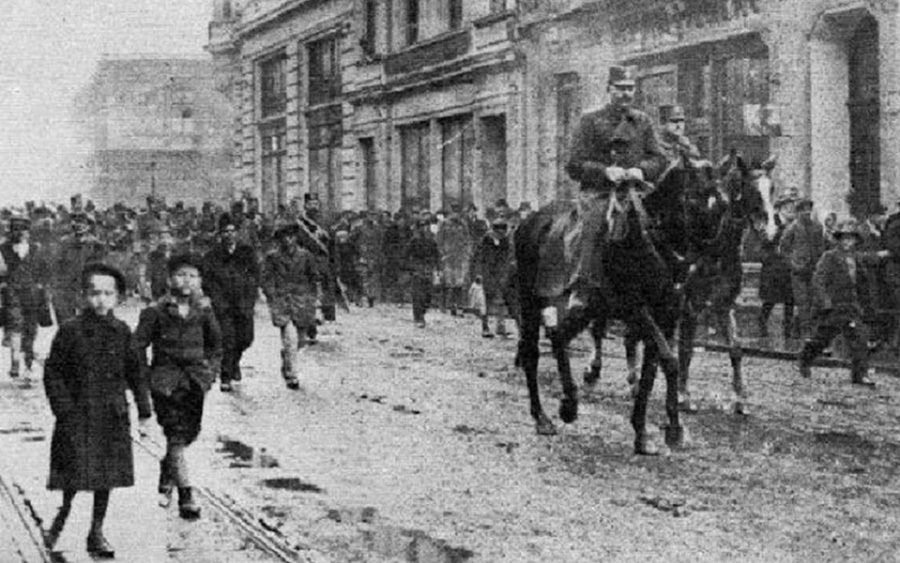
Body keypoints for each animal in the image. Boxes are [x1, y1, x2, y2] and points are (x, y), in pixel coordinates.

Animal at [512, 163, 696, 454]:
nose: (685, 264)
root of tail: (527, 222)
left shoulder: (667, 316)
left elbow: (653, 371)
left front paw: (646, 433)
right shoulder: (635, 309)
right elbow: (668, 361)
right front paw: (673, 429)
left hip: (584, 308)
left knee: (559, 336)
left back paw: (569, 403)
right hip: (531, 300)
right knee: (532, 352)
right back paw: (543, 417)